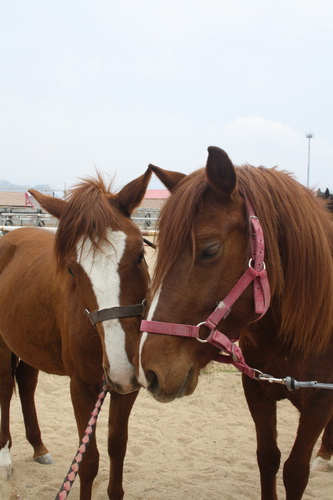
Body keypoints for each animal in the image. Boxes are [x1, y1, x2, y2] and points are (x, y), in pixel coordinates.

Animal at [0, 169, 150, 500]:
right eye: (72, 269)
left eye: (140, 254)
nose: (120, 366)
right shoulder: (81, 387)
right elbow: (89, 461)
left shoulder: (126, 388)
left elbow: (117, 448)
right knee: (4, 388)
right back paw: (4, 456)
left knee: (26, 384)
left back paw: (39, 447)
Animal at [136, 147, 332, 500]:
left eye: (210, 249)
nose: (150, 372)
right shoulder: (256, 388)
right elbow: (268, 458)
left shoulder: (320, 400)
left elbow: (296, 472)